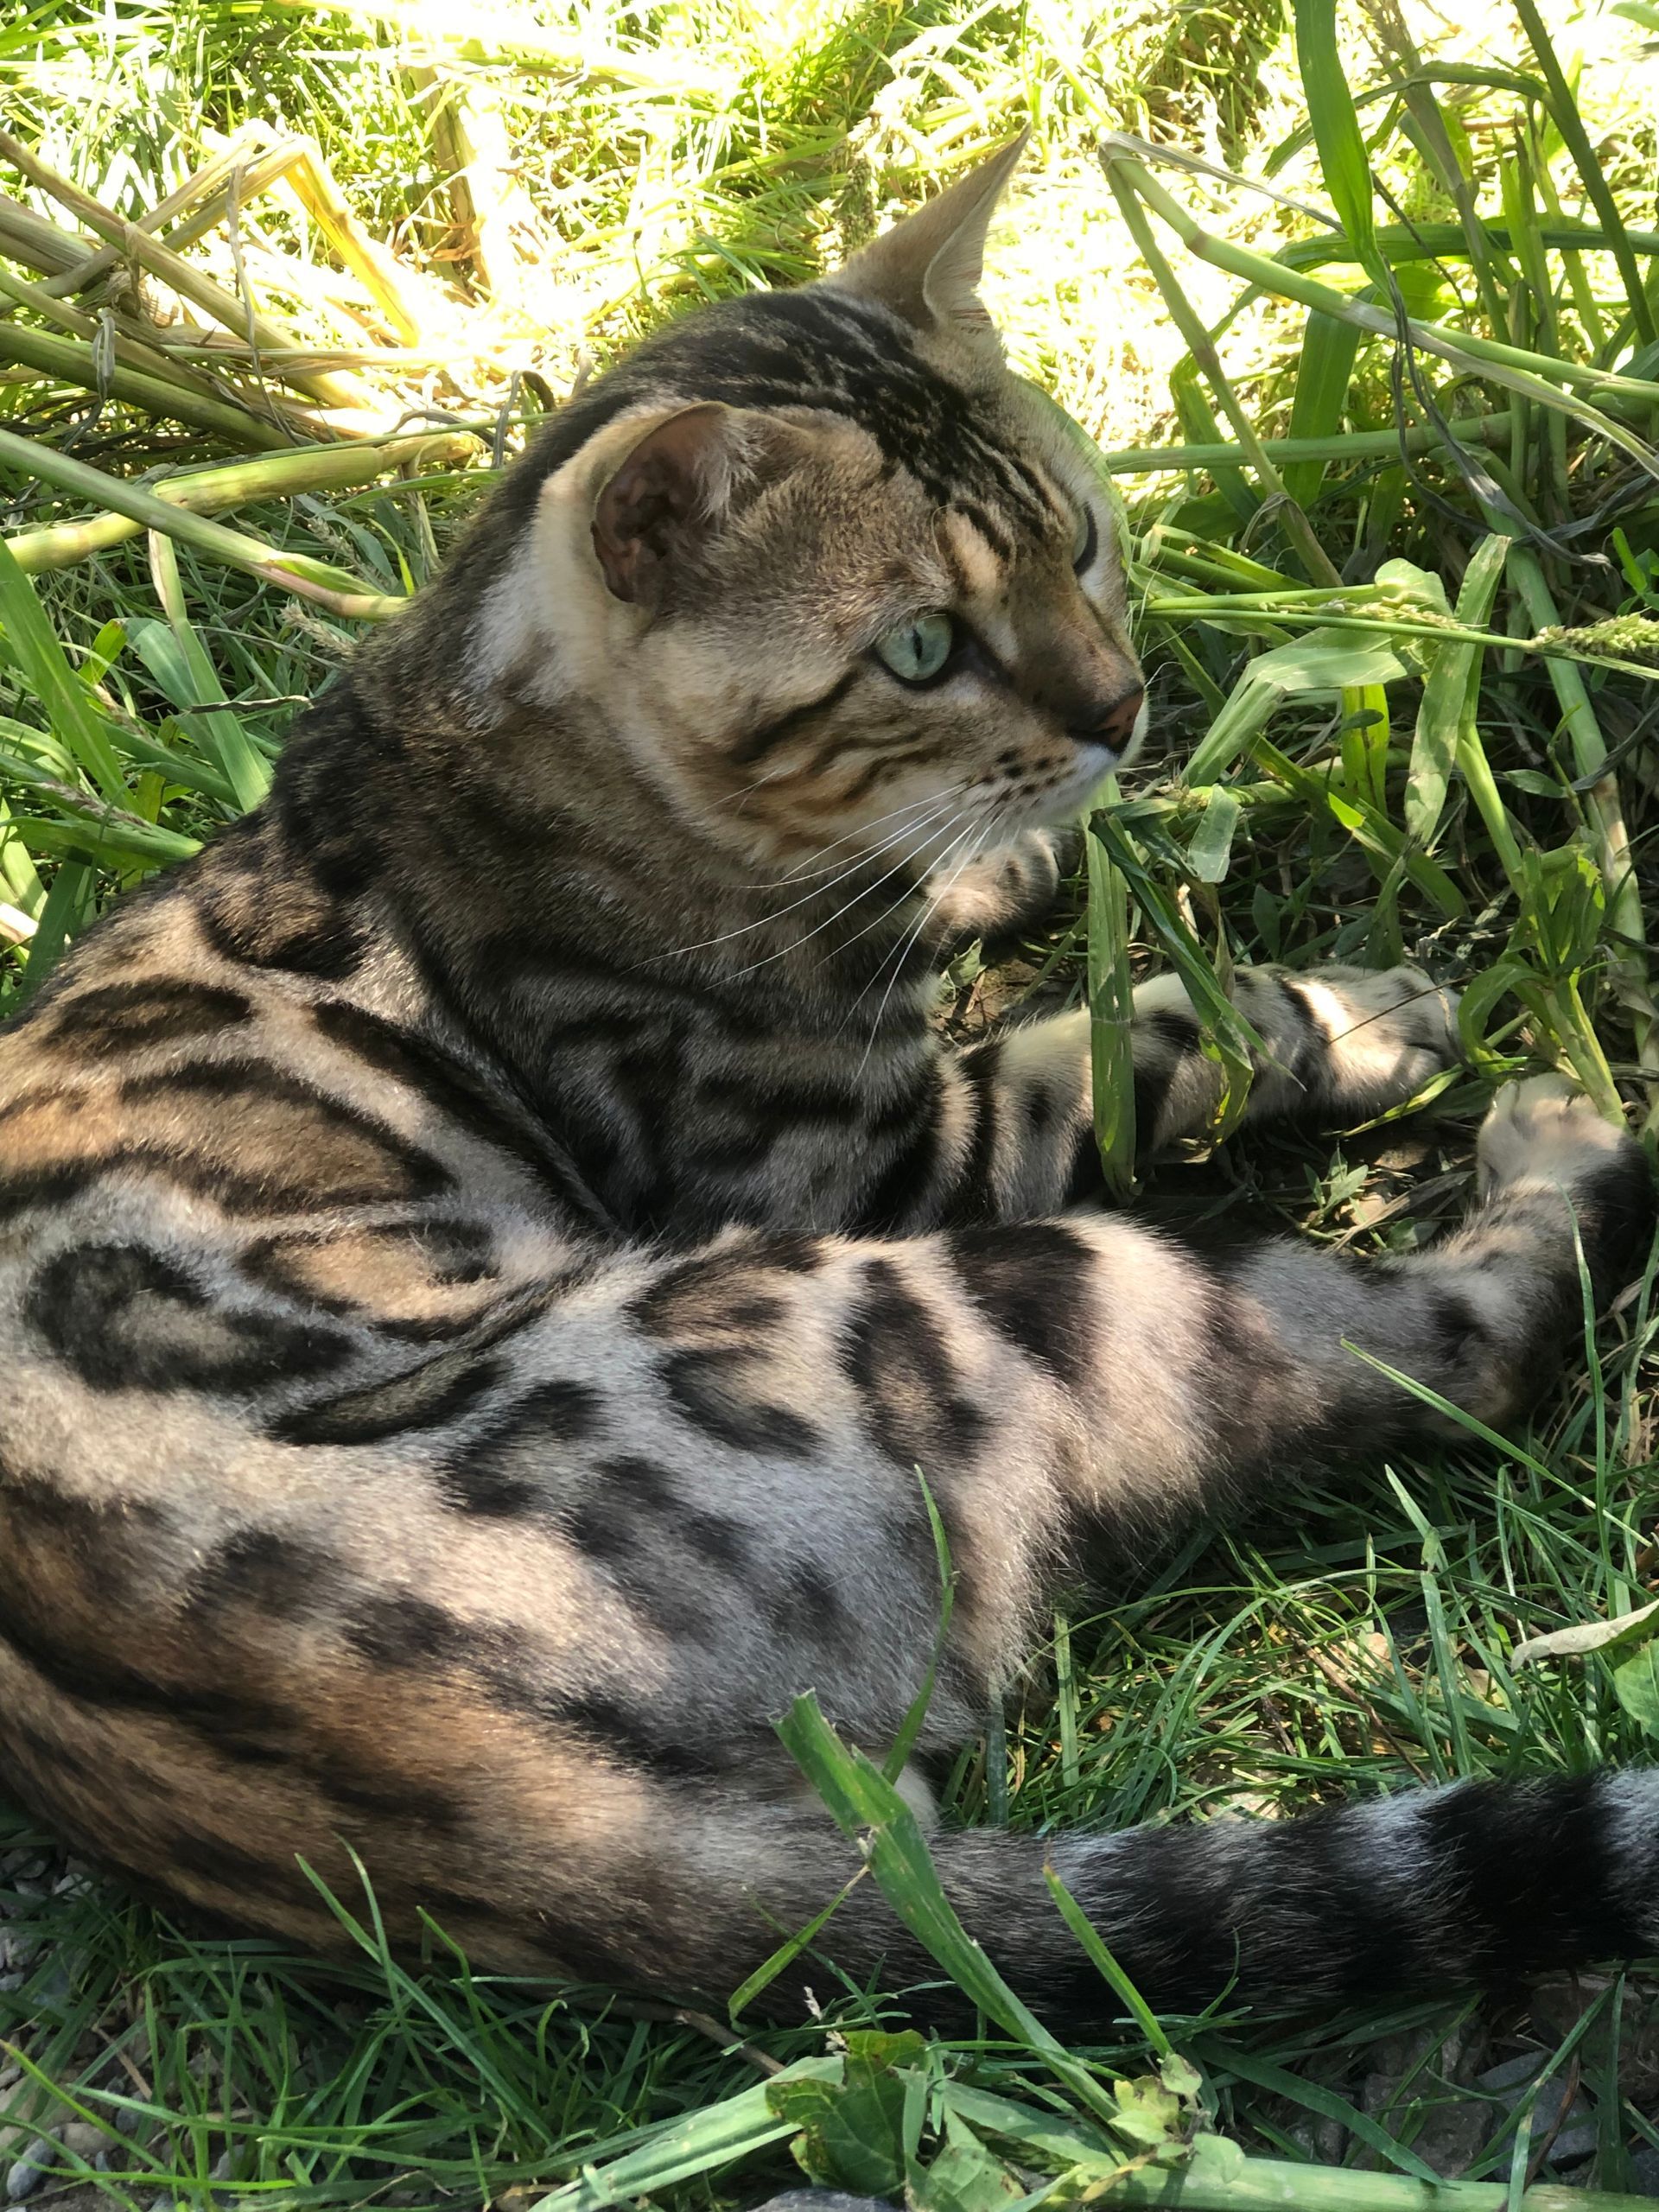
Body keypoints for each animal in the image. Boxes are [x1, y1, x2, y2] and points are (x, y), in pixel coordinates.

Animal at [3, 138, 1659, 2025]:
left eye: (1082, 541)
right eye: (923, 649)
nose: (1121, 705)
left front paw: (1002, 864)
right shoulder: (880, 1158)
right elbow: (1144, 1036)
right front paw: (1340, 1014)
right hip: (985, 1287)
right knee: (1461, 1348)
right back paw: (1559, 1143)